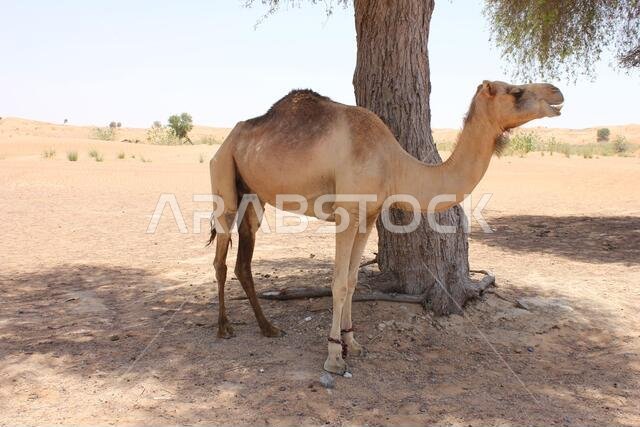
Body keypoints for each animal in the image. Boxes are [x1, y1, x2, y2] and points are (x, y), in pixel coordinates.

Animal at [207, 80, 564, 374]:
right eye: (515, 91)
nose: (556, 93)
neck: (393, 164)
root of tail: (226, 141)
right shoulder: (347, 213)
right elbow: (338, 283)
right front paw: (334, 357)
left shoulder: (368, 216)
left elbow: (352, 281)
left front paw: (353, 343)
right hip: (223, 176)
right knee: (220, 257)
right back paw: (224, 328)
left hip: (253, 194)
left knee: (243, 260)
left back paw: (268, 328)